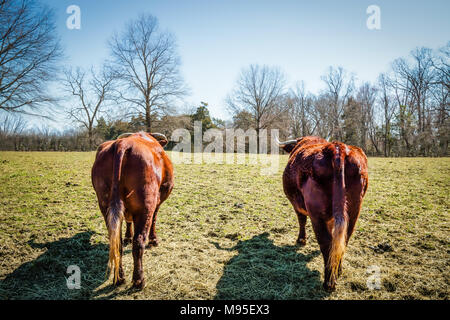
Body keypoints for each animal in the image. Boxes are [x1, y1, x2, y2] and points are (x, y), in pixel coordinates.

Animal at [91, 131, 174, 288]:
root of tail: (122, 143)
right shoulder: (157, 202)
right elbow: (154, 219)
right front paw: (153, 240)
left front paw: (127, 236)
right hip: (146, 206)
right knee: (139, 242)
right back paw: (138, 280)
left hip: (105, 205)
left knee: (116, 243)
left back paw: (119, 277)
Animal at [278, 136, 370, 292]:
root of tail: (337, 148)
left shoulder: (297, 205)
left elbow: (301, 220)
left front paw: (301, 240)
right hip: (353, 212)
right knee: (343, 240)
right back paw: (338, 270)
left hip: (317, 215)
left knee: (326, 244)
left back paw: (329, 282)